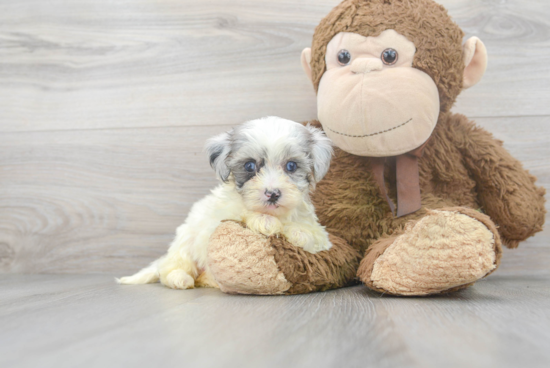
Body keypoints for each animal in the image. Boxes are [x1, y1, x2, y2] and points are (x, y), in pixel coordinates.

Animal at [118, 116, 334, 288]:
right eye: (249, 166)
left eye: (291, 166)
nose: (272, 193)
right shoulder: (221, 215)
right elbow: (242, 213)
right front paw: (264, 221)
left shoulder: (321, 233)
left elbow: (315, 236)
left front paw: (300, 233)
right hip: (184, 242)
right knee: (172, 268)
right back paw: (180, 278)